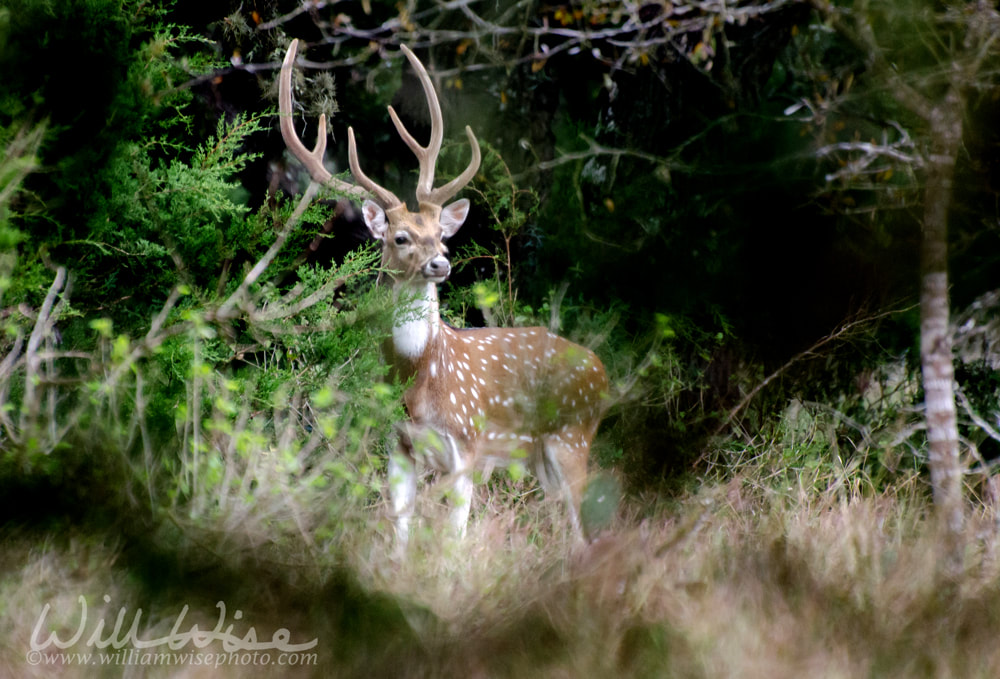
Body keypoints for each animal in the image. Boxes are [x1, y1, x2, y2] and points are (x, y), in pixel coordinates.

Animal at [280, 38, 608, 548]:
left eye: (441, 236)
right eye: (400, 238)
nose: (441, 264)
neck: (420, 381)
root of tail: (603, 373)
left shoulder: (468, 448)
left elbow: (453, 545)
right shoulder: (398, 446)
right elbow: (400, 532)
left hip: (573, 439)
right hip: (542, 457)